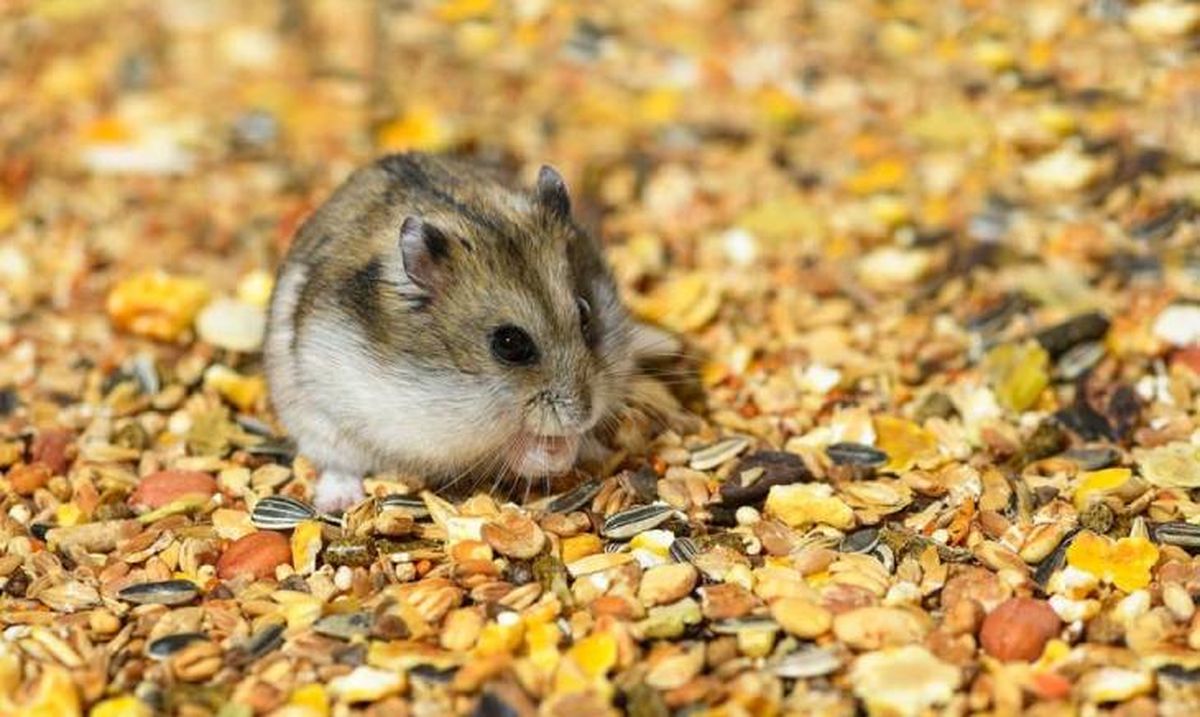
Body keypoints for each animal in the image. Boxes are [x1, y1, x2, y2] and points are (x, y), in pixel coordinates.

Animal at [265, 153, 674, 512]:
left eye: (586, 314)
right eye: (510, 344)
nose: (584, 415)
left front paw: (574, 443)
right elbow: (510, 448)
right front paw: (554, 452)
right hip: (317, 421)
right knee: (338, 464)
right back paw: (338, 501)